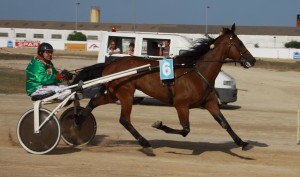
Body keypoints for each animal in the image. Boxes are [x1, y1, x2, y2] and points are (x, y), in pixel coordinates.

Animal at [72, 23, 255, 155]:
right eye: (239, 43)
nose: (252, 60)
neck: (197, 72)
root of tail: (110, 64)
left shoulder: (210, 103)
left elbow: (225, 124)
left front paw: (243, 143)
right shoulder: (181, 105)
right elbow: (185, 130)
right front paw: (159, 125)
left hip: (113, 93)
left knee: (94, 102)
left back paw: (78, 121)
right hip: (126, 94)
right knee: (124, 120)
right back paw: (145, 144)